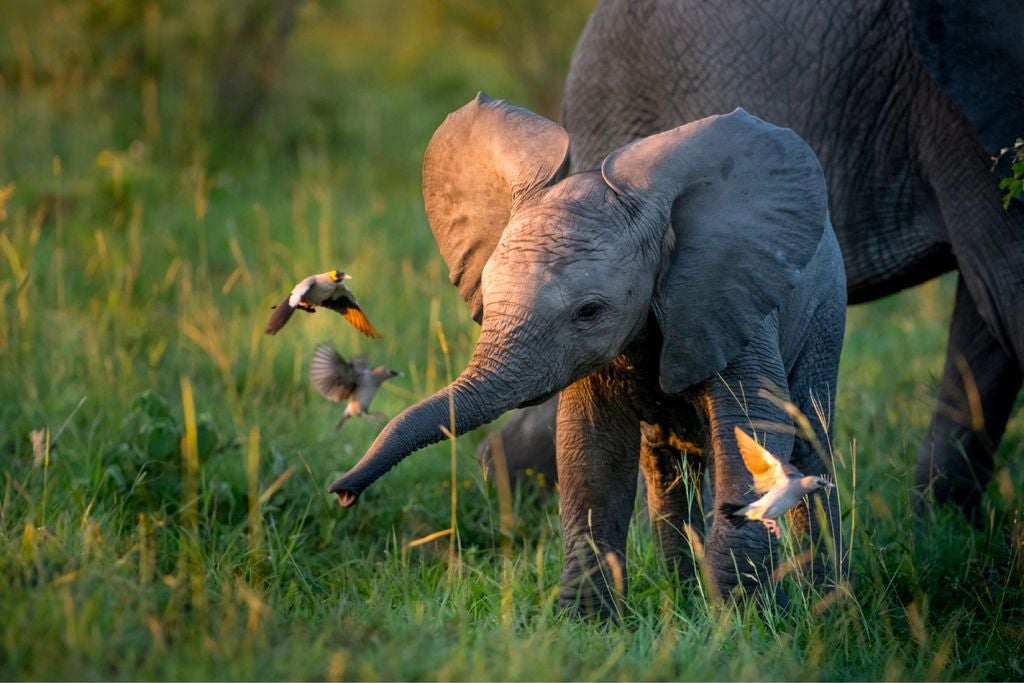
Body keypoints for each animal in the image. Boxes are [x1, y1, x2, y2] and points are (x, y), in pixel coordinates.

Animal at [329, 94, 847, 614]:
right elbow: (591, 453)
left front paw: (741, 619)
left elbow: (752, 428)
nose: (341, 491)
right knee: (667, 466)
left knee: (809, 444)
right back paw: (683, 596)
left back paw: (826, 606)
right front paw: (587, 621)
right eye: (488, 299)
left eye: (589, 311)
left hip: (824, 315)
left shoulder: (730, 304)